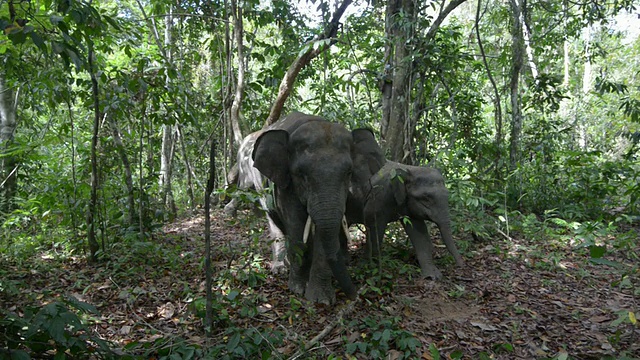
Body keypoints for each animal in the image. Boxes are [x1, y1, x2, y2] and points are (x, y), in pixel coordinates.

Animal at [252, 110, 378, 304]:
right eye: (301, 174)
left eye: (348, 173)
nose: (355, 296)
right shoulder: (286, 186)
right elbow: (296, 228)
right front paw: (297, 289)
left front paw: (321, 300)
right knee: (274, 222)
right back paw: (281, 268)